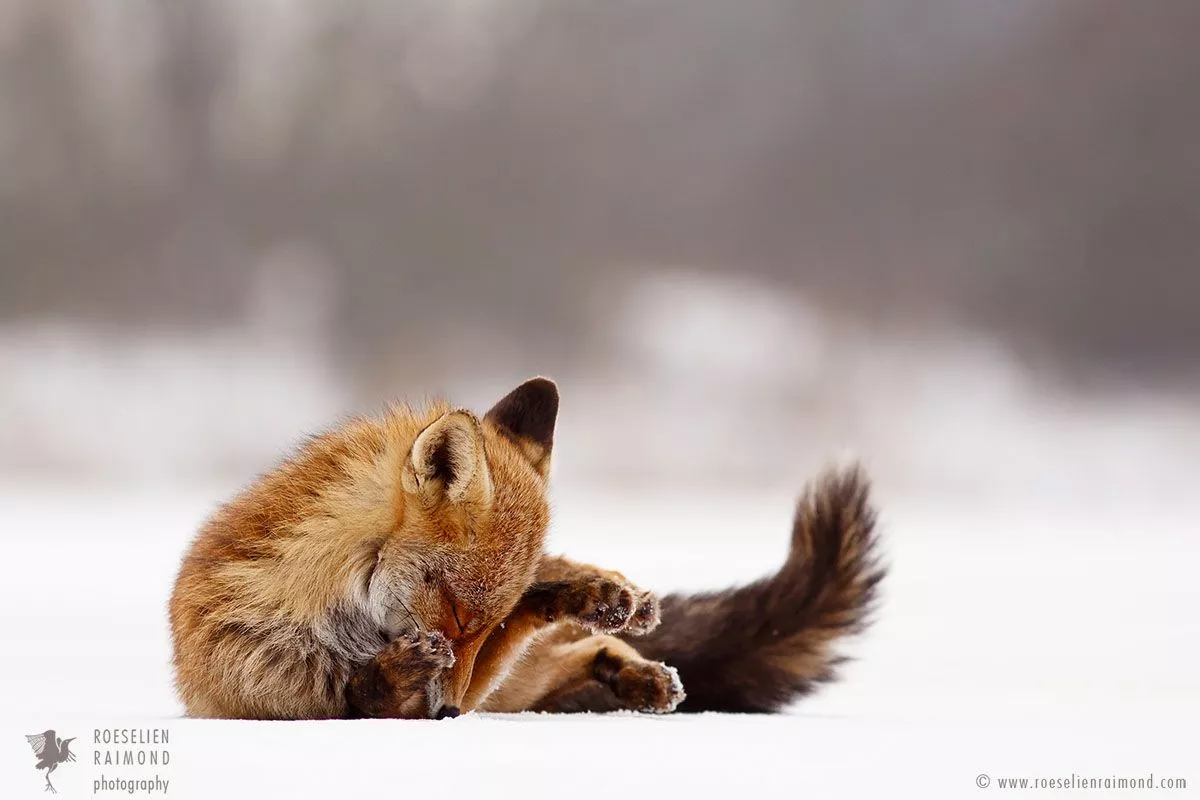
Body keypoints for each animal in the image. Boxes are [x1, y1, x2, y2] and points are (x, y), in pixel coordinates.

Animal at [169, 376, 885, 719]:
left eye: (476, 627)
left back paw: (617, 629)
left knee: (572, 643)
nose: (449, 710)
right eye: (455, 616)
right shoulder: (277, 693)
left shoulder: (481, 671)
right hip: (519, 691)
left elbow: (524, 614)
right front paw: (393, 678)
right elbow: (366, 697)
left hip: (520, 683)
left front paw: (587, 595)